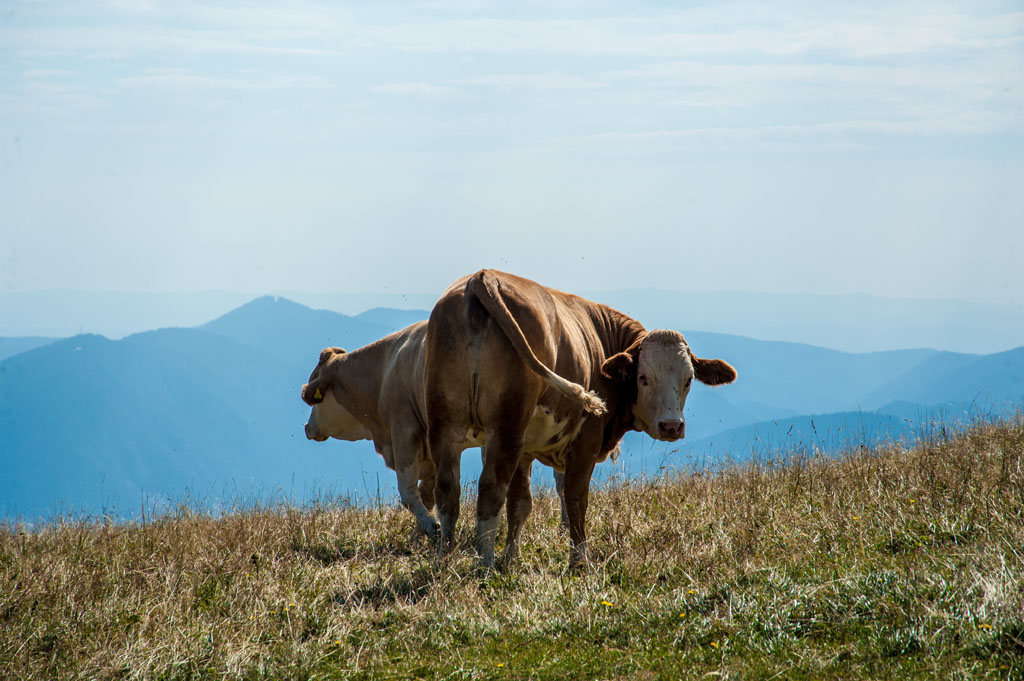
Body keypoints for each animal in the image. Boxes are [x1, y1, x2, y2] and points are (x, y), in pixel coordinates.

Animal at [299, 319, 438, 536]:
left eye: (317, 401)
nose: (307, 427)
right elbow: (428, 494)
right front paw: (420, 533)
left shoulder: (404, 431)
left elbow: (409, 493)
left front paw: (431, 527)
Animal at [423, 268, 737, 565]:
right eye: (644, 378)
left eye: (688, 380)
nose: (671, 426)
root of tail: (483, 276)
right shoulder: (584, 442)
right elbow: (576, 499)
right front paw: (579, 560)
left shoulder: (525, 449)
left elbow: (520, 502)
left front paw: (511, 556)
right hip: (505, 427)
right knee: (490, 490)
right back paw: (484, 564)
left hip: (446, 422)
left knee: (448, 491)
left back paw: (445, 560)